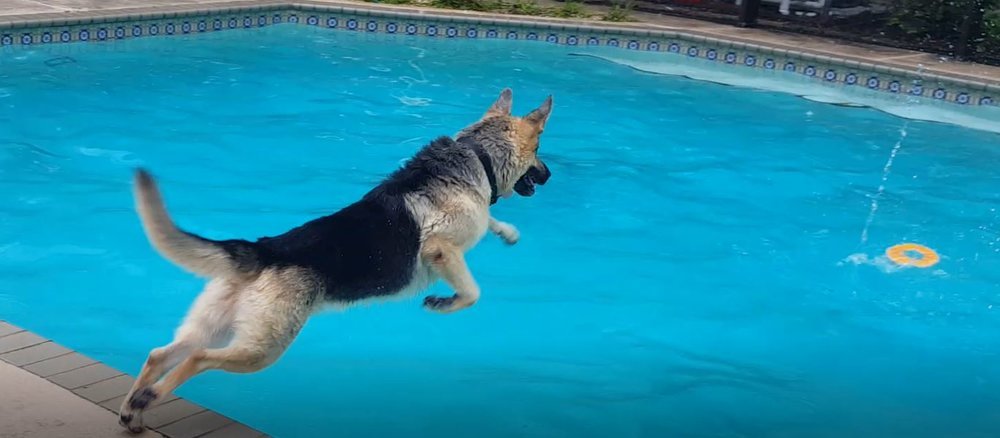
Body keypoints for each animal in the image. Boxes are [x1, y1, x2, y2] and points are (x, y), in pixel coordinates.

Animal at [121, 88, 556, 432]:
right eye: (538, 151)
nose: (550, 175)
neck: (477, 155)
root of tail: (265, 249)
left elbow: (490, 222)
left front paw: (506, 230)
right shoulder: (440, 250)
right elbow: (471, 292)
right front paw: (442, 303)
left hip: (217, 324)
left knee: (161, 353)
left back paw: (134, 409)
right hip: (262, 350)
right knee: (196, 359)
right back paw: (149, 397)